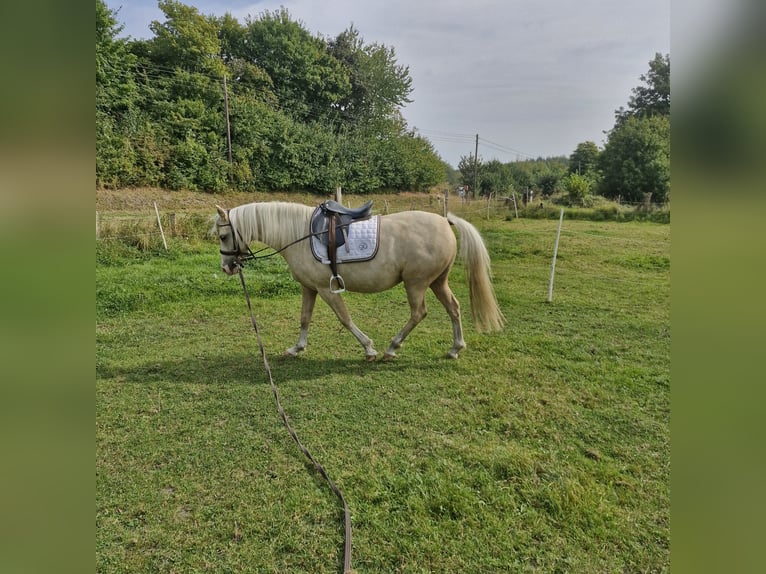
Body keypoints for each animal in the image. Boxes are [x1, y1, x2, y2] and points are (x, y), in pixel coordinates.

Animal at [216, 202, 508, 360]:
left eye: (222, 236)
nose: (227, 267)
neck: (298, 234)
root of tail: (446, 221)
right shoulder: (309, 288)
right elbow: (305, 318)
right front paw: (296, 348)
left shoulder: (326, 289)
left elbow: (344, 319)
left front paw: (369, 348)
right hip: (438, 282)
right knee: (453, 308)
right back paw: (455, 348)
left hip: (416, 283)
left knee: (419, 313)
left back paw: (392, 348)